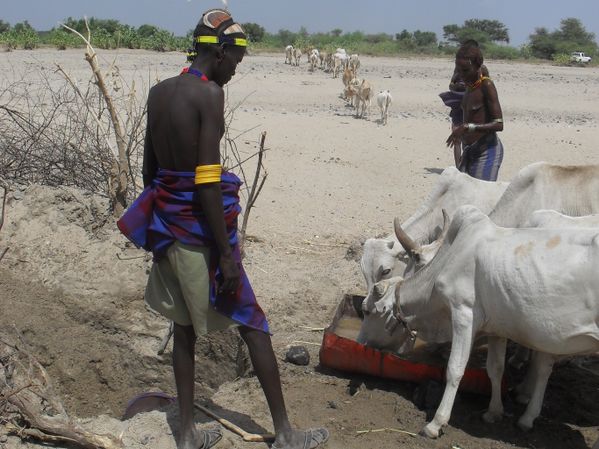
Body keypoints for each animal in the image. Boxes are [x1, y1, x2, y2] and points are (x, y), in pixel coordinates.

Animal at [370, 206, 599, 438]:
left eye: (368, 310)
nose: (365, 343)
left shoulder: (463, 314)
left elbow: (455, 369)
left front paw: (436, 423)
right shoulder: (497, 329)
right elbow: (495, 368)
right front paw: (494, 412)